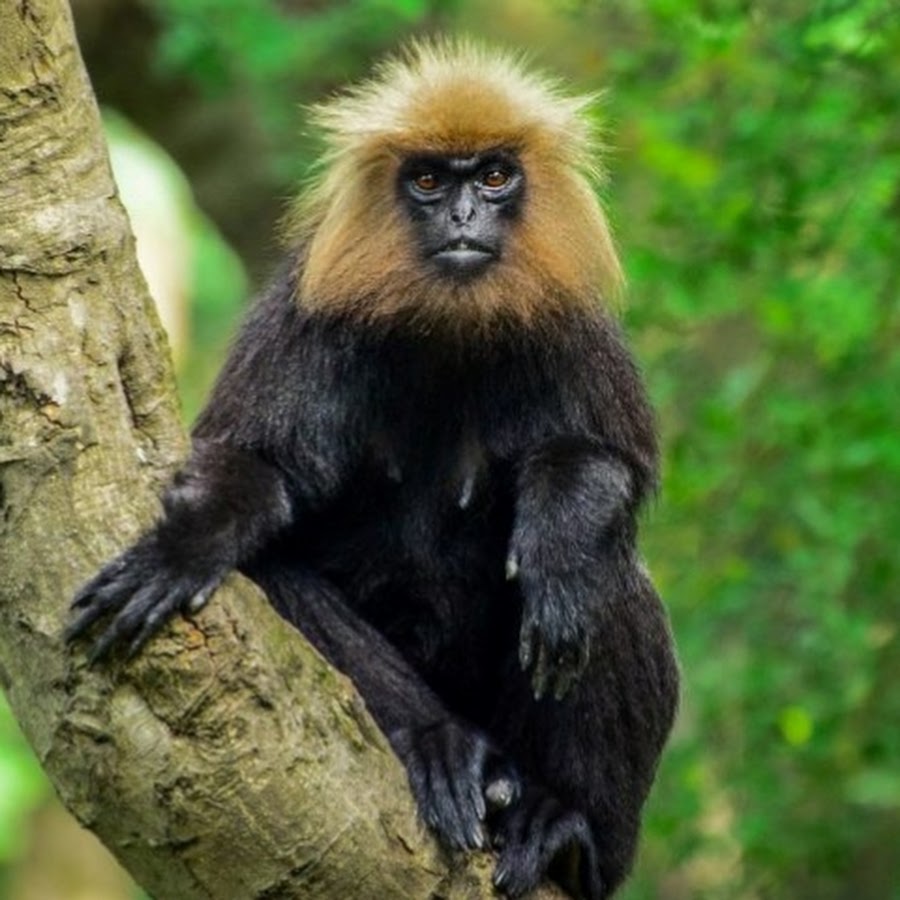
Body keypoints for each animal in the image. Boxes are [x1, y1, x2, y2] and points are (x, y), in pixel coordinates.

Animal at [68, 40, 676, 900]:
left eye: (495, 177)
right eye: (428, 182)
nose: (463, 218)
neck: (449, 332)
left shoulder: (570, 324)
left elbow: (604, 468)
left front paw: (557, 546)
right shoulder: (307, 316)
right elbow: (255, 473)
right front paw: (186, 543)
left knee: (607, 581)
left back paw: (561, 824)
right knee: (273, 571)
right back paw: (444, 747)